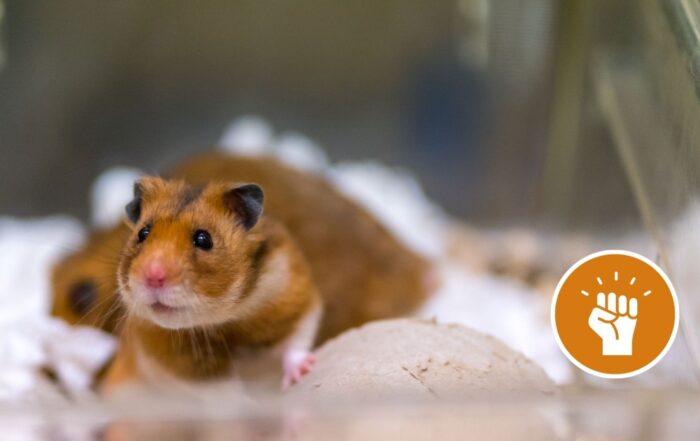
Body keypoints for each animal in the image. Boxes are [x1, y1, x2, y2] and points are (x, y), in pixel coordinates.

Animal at [103, 177, 321, 391]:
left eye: (203, 239)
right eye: (143, 233)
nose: (153, 276)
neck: (222, 317)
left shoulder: (293, 296)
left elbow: (295, 341)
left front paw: (301, 374)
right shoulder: (184, 364)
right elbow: (225, 391)